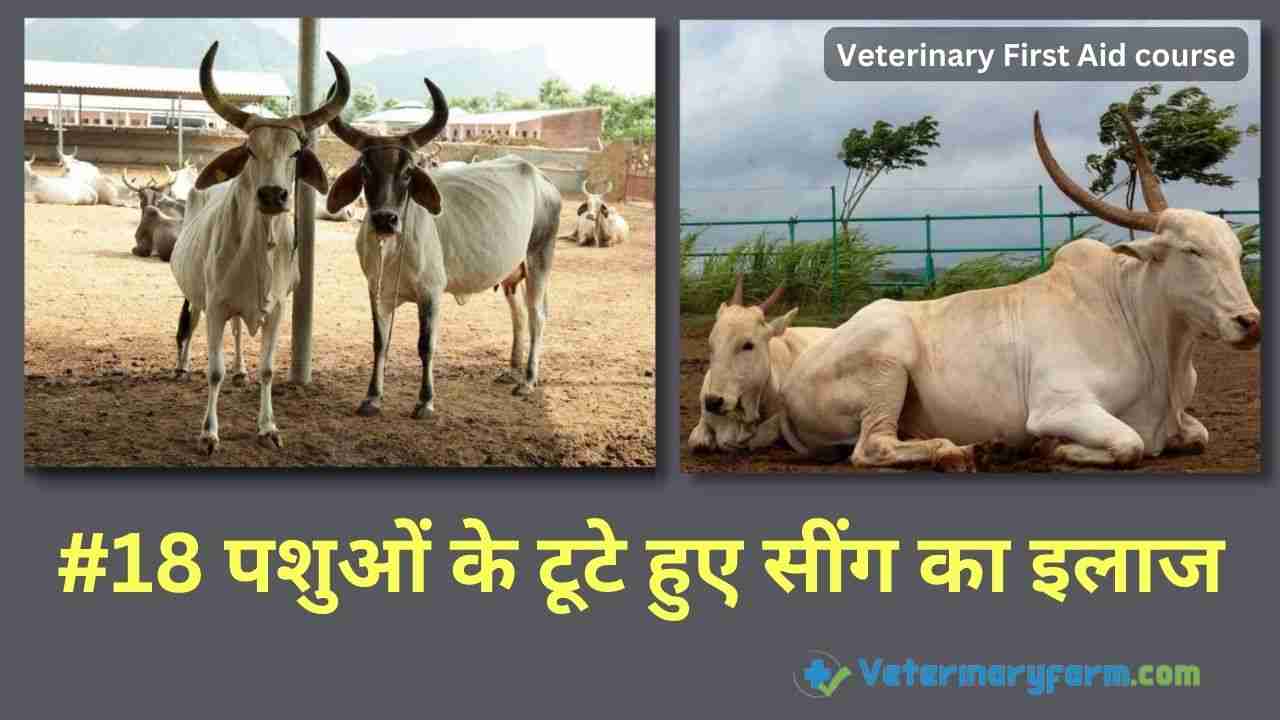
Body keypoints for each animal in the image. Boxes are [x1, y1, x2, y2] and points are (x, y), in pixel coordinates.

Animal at [169, 41, 350, 454]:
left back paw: (240, 370)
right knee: (189, 326)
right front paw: (209, 433)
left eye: (296, 152)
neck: (258, 252)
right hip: (196, 296)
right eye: (250, 149)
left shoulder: (279, 306)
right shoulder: (217, 304)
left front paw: (268, 427)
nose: (272, 195)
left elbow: (267, 368)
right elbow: (213, 372)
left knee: (237, 333)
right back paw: (182, 366)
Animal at [324, 77, 561, 417]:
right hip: (510, 275)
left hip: (540, 257)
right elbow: (380, 342)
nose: (385, 219)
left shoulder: (431, 293)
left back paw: (528, 380)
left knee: (537, 315)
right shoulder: (377, 291)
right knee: (518, 314)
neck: (393, 250)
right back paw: (512, 370)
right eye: (366, 169)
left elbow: (426, 345)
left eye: (408, 171)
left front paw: (425, 400)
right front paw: (372, 397)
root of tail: (541, 177)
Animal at [774, 111, 1261, 471]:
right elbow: (1130, 444)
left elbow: (1198, 435)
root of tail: (792, 380)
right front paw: (1051, 447)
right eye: (1192, 250)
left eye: (1237, 252)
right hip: (886, 360)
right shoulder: (1058, 405)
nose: (1249, 323)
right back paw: (961, 451)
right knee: (872, 446)